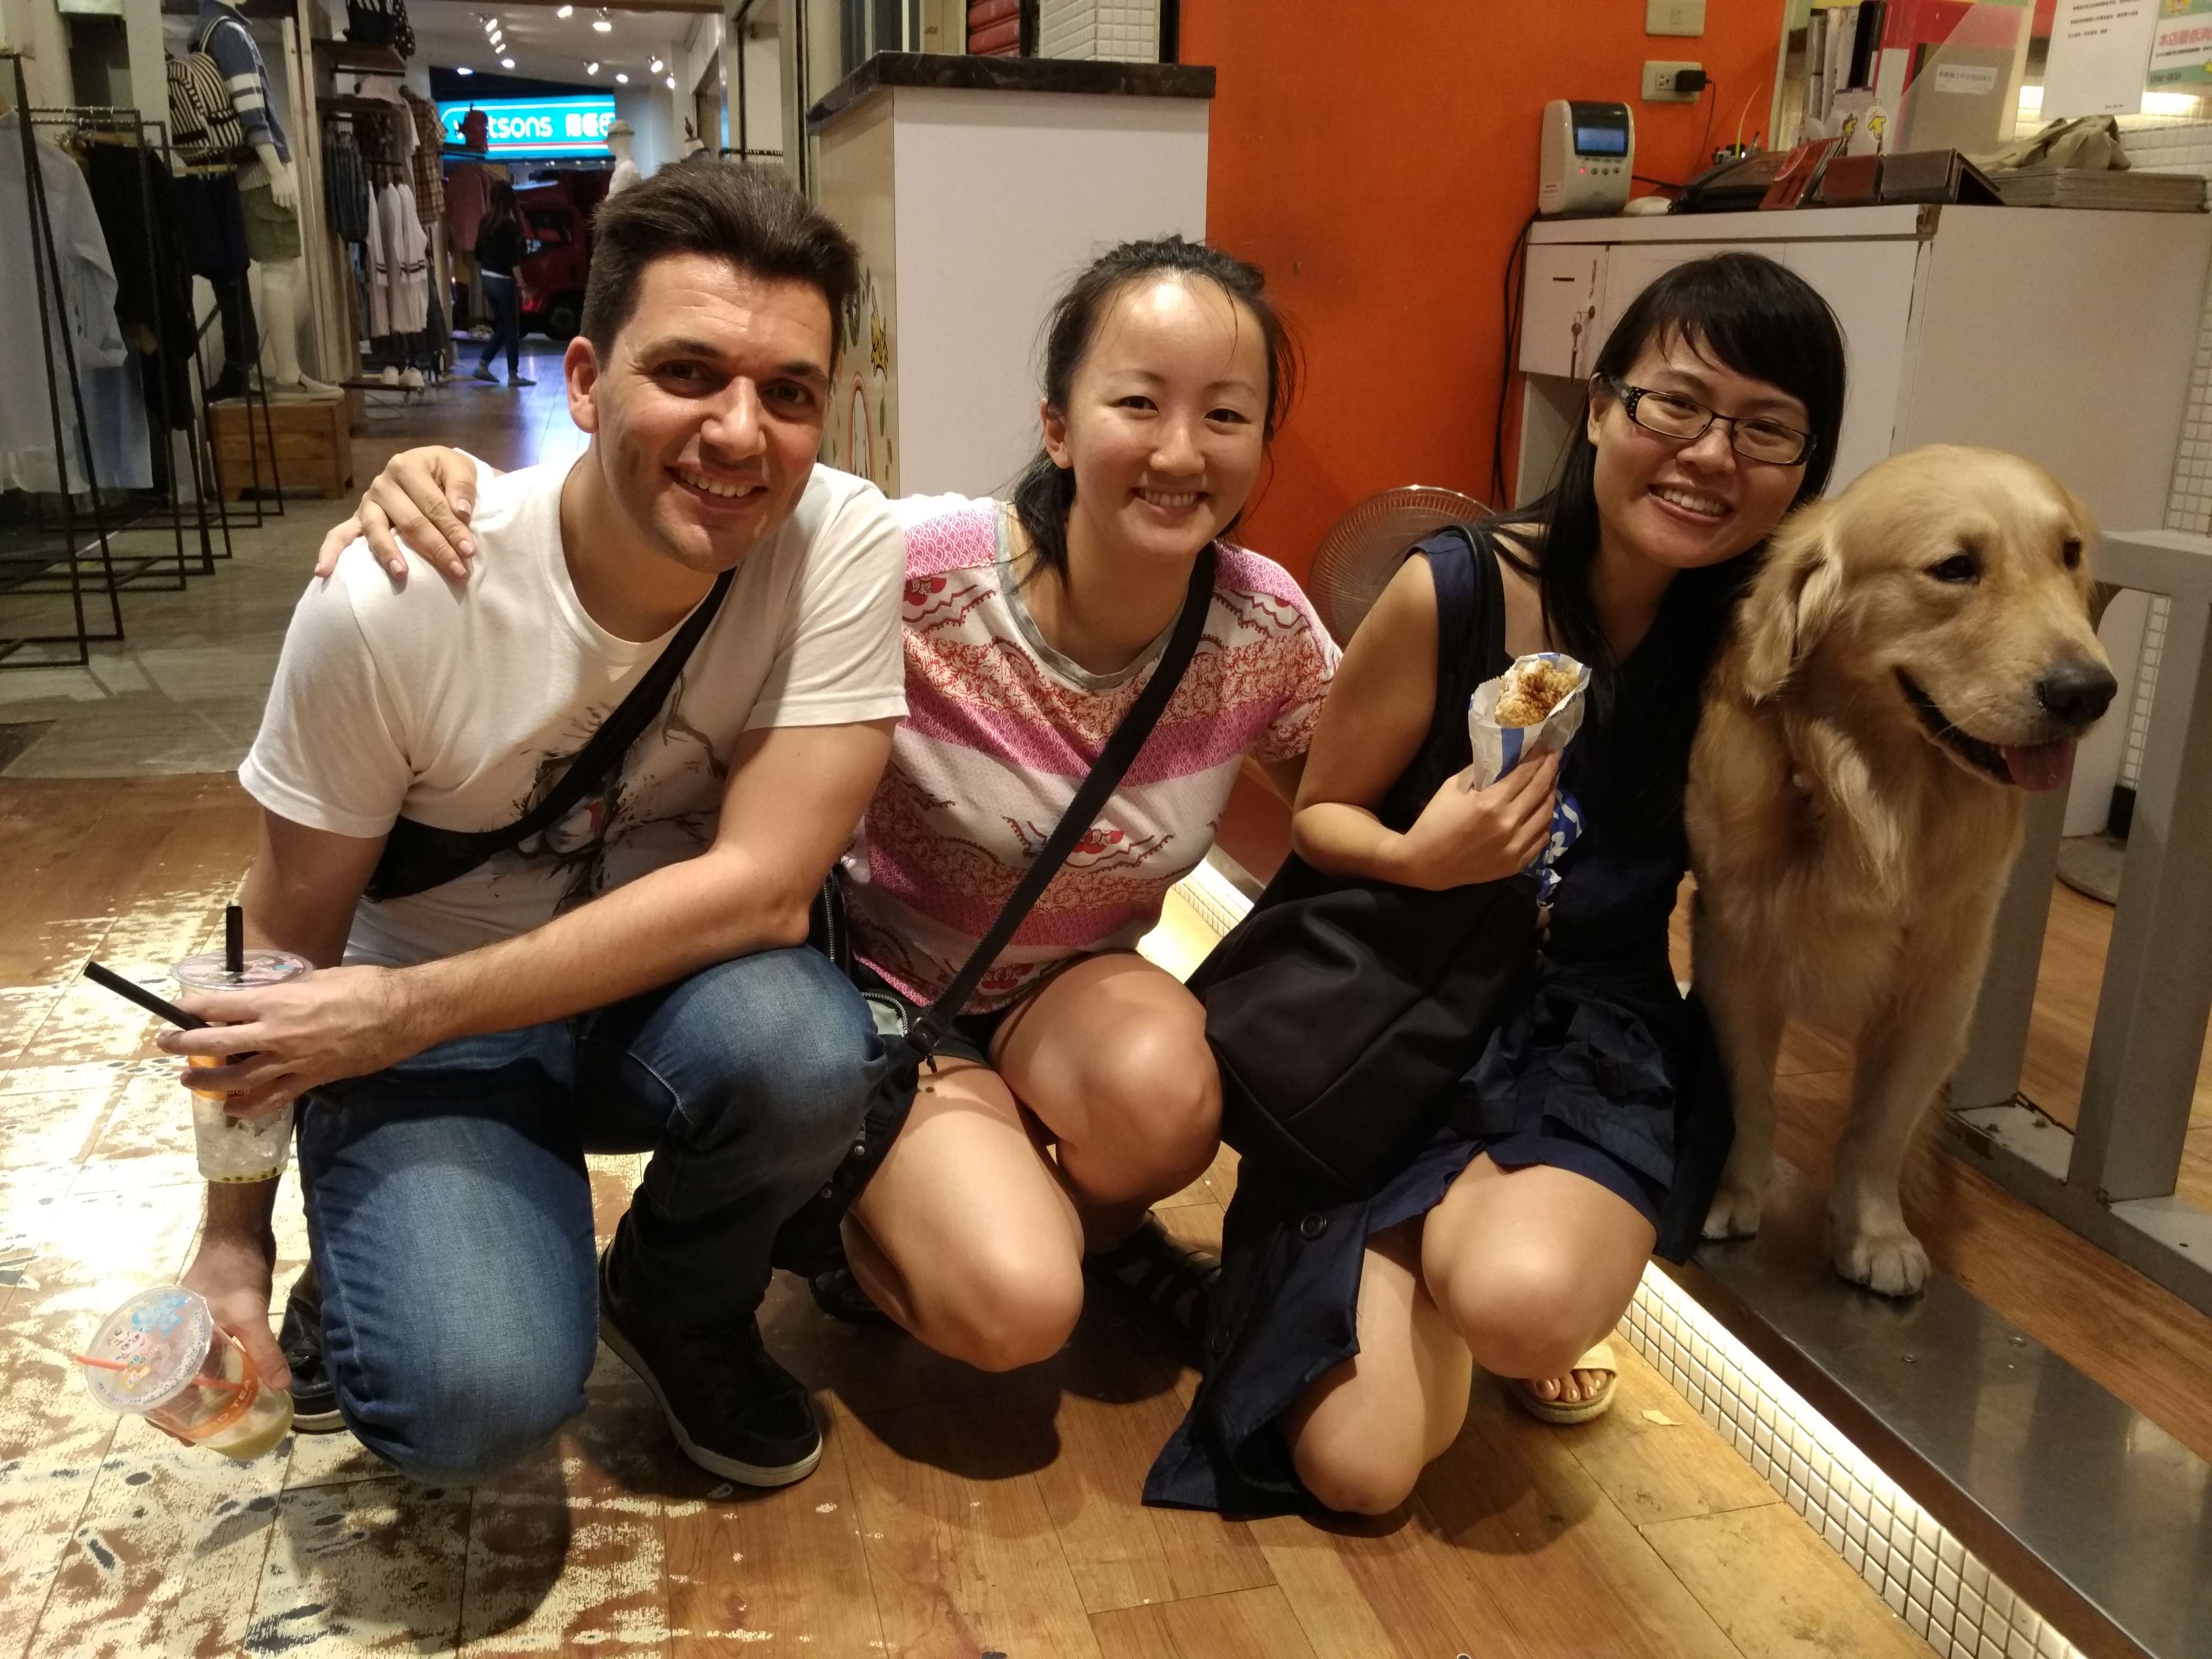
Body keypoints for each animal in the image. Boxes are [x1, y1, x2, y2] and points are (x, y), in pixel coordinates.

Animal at [1688, 445, 2117, 1296]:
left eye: (2069, 554)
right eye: (1954, 568)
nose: (2089, 692)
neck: (1872, 799)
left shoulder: (1940, 985)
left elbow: (1880, 1126)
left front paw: (1874, 1232)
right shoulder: (1734, 951)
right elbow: (1748, 1092)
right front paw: (1734, 1190)